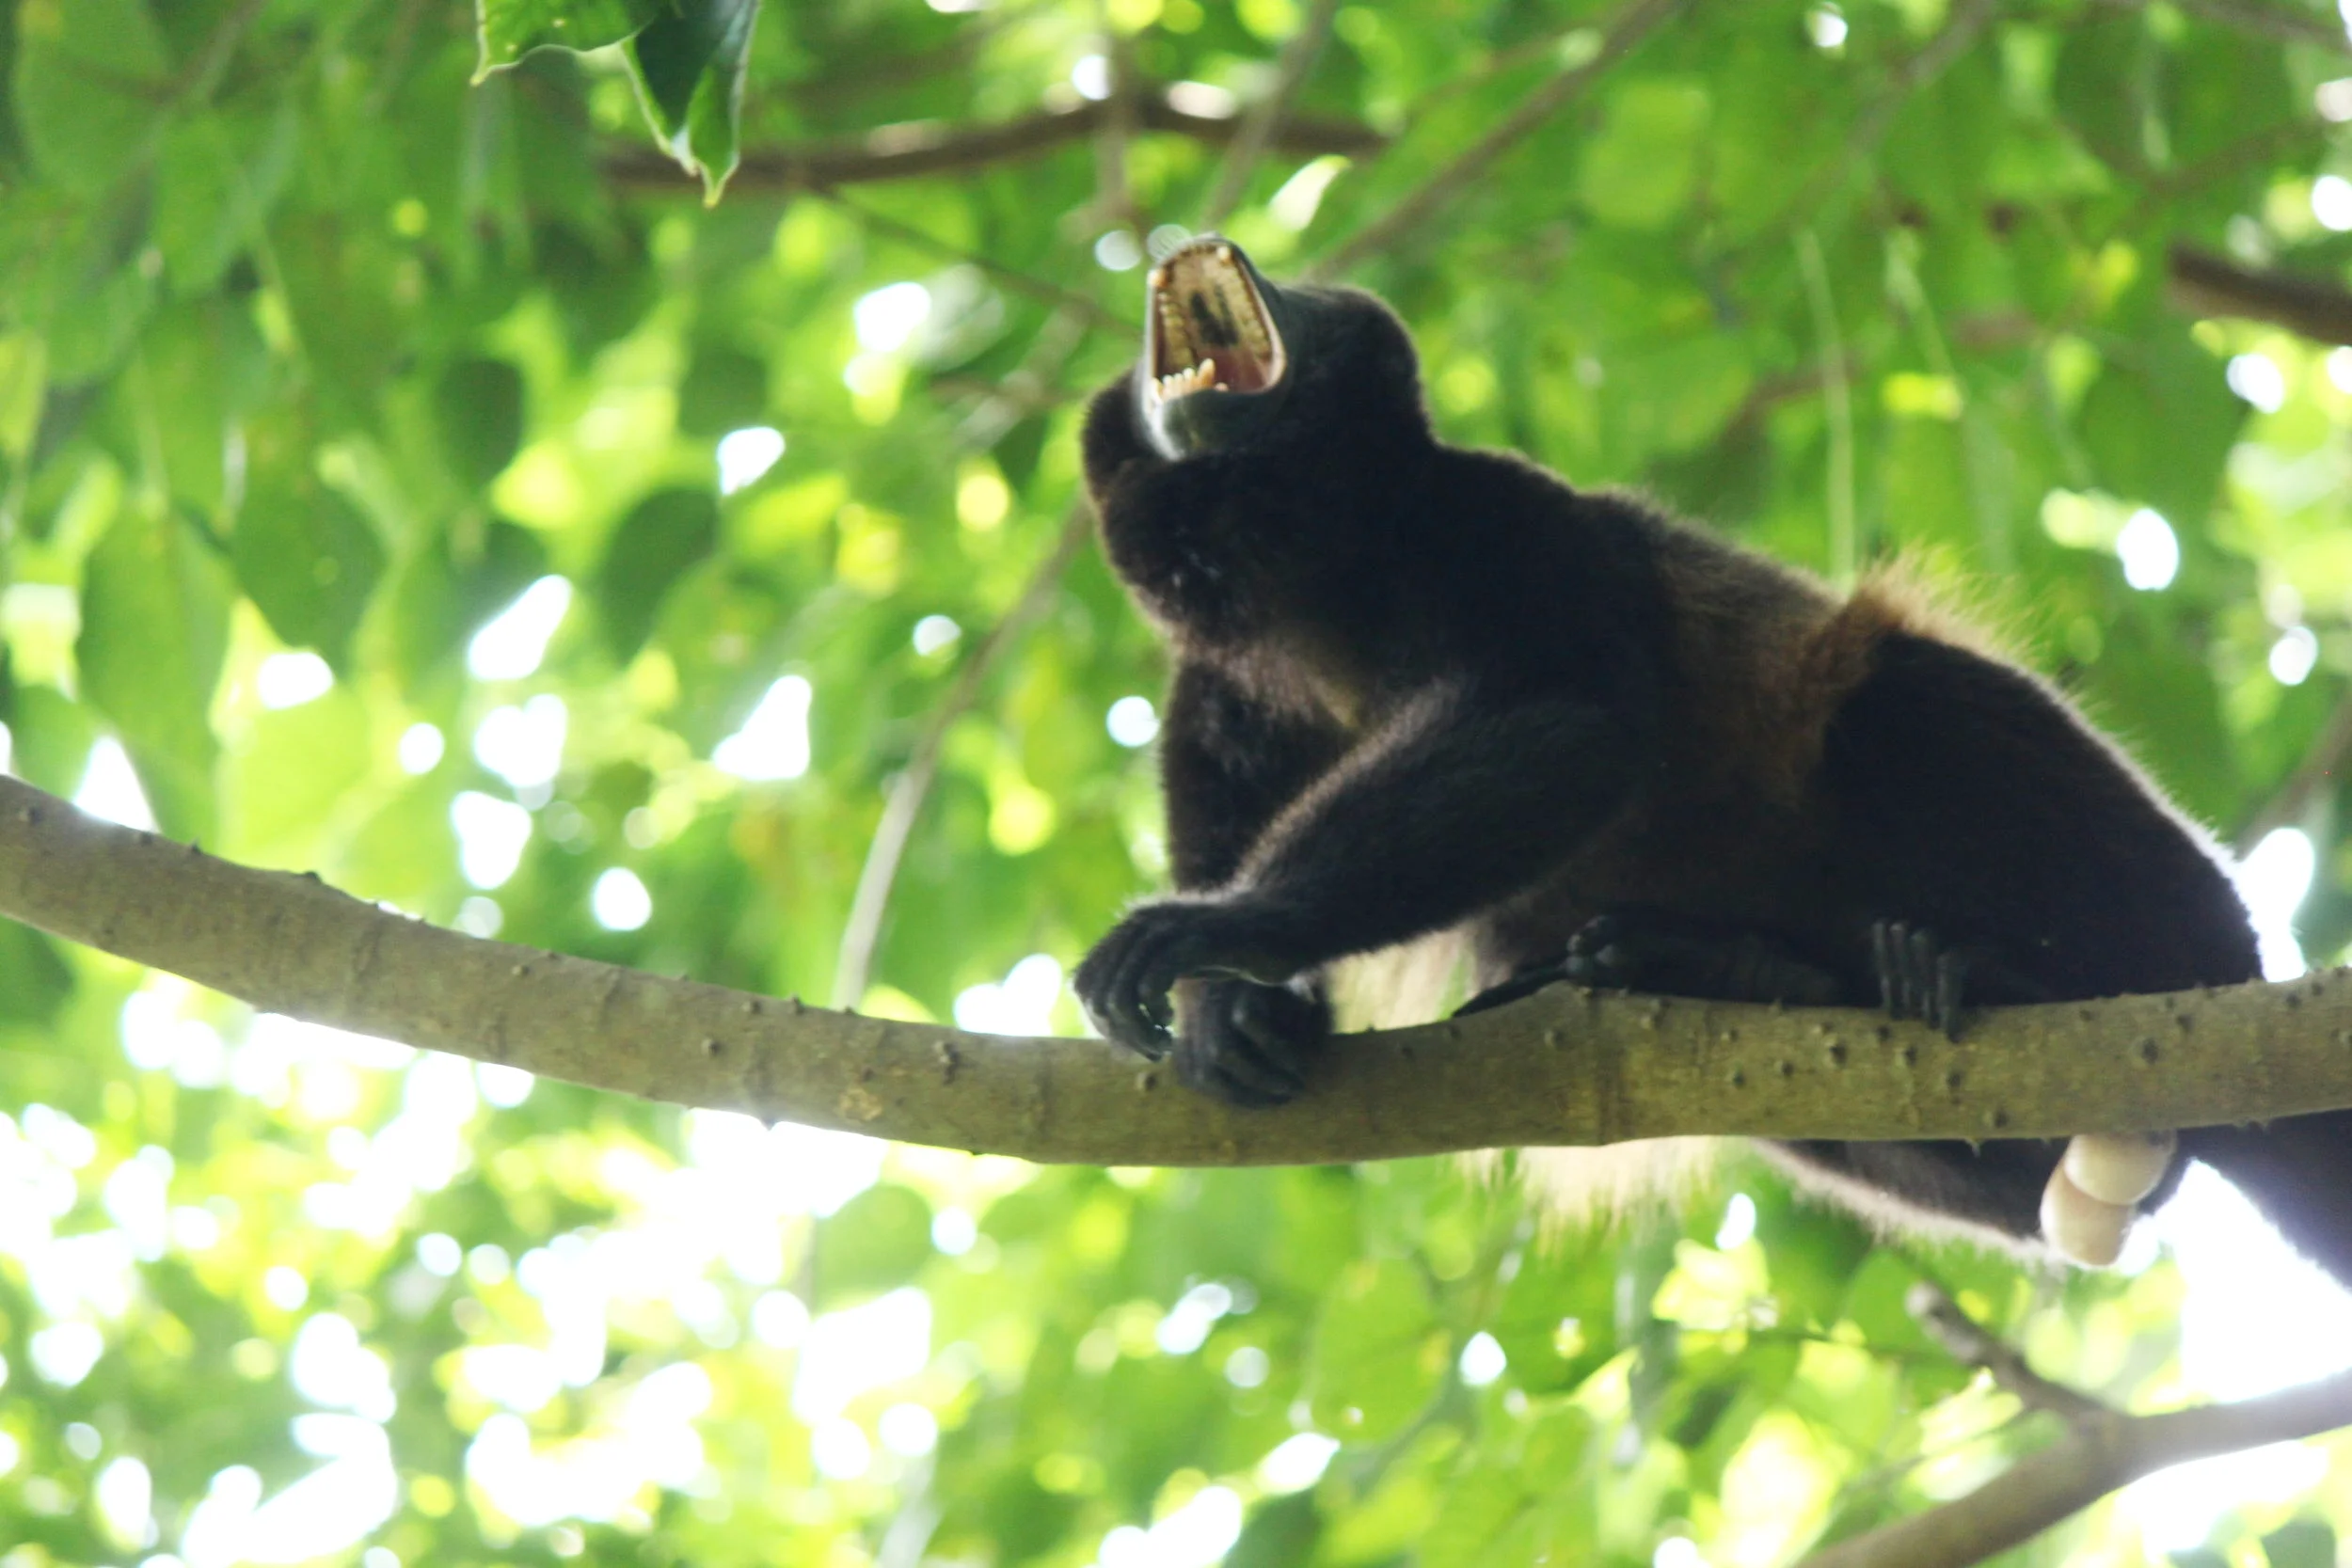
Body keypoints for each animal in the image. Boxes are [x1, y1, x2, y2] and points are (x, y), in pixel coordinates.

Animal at [1071, 236, 2352, 1281]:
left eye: (1299, 283)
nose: (1228, 244)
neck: (1311, 583)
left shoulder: (1509, 520)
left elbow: (1573, 722)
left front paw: (1227, 929)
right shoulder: (1212, 689)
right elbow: (1228, 822)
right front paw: (1235, 1006)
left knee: (1897, 699)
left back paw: (2020, 973)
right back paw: (1745, 969)